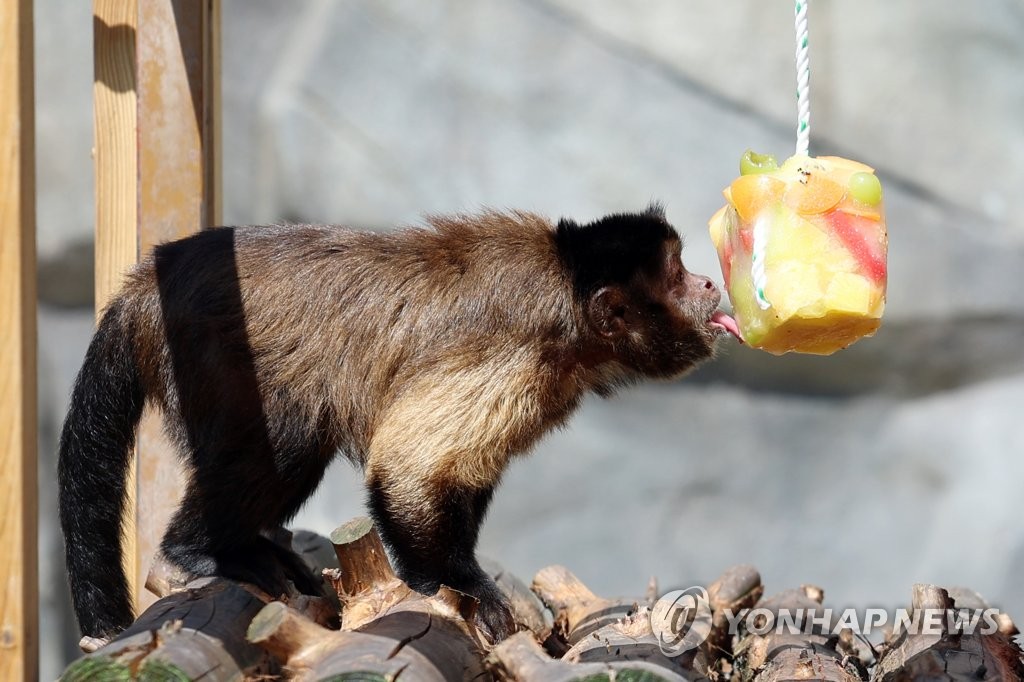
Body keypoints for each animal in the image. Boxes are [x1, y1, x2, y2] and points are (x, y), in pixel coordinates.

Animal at [58, 202, 737, 643]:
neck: (570, 313)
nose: (708, 280)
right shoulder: (514, 357)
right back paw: (196, 553)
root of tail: (144, 287)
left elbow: (457, 478)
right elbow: (407, 469)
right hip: (205, 347)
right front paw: (455, 588)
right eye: (678, 274)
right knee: (287, 444)